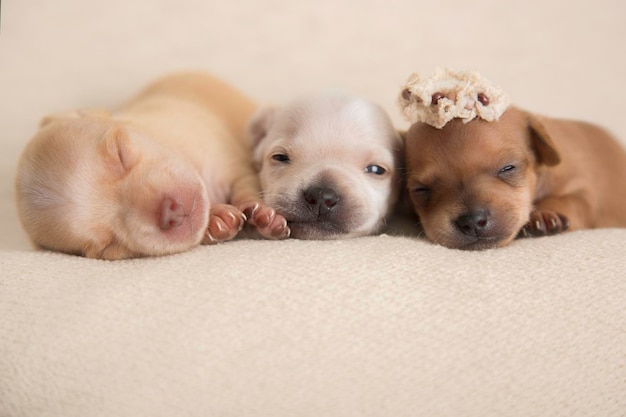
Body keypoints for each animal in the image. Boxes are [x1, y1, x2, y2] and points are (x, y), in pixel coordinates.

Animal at [14, 73, 288, 258]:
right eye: (108, 245)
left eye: (120, 152)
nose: (169, 212)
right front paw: (216, 219)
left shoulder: (233, 160)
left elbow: (245, 183)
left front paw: (261, 215)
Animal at [400, 69, 624, 249]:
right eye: (421, 190)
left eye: (508, 168)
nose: (472, 221)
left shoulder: (583, 191)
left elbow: (571, 200)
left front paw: (545, 215)